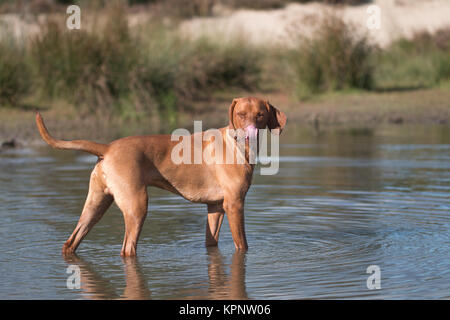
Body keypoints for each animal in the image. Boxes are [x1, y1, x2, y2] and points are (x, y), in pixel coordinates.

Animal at [37, 97, 286, 258]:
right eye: (240, 115)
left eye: (260, 115)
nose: (248, 134)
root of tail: (107, 148)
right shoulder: (235, 204)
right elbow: (242, 245)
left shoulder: (215, 208)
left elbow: (211, 242)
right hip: (137, 206)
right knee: (127, 249)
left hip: (96, 204)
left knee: (70, 242)